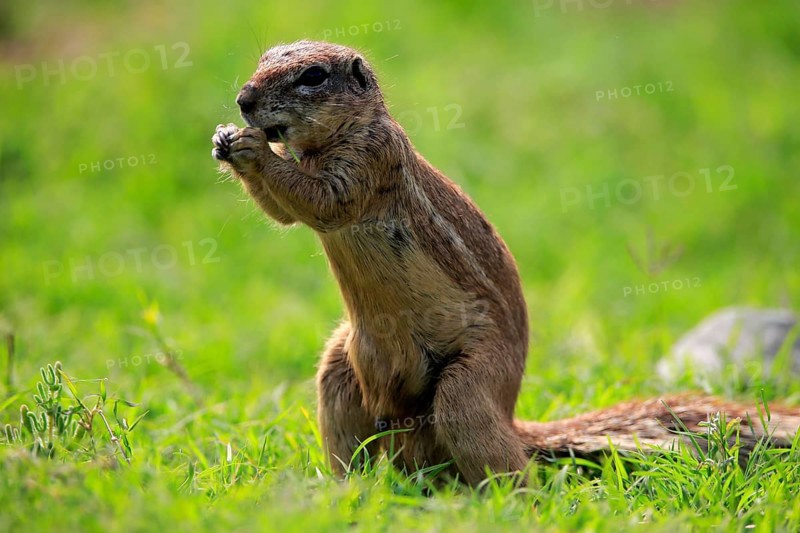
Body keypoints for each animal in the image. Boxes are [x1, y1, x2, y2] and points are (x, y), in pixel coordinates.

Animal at [211, 40, 800, 486]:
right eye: (263, 58)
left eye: (312, 76)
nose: (242, 100)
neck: (336, 137)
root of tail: (512, 416)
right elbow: (287, 212)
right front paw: (225, 139)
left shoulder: (370, 161)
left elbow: (321, 201)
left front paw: (252, 149)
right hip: (339, 364)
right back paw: (341, 489)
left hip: (469, 385)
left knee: (506, 461)